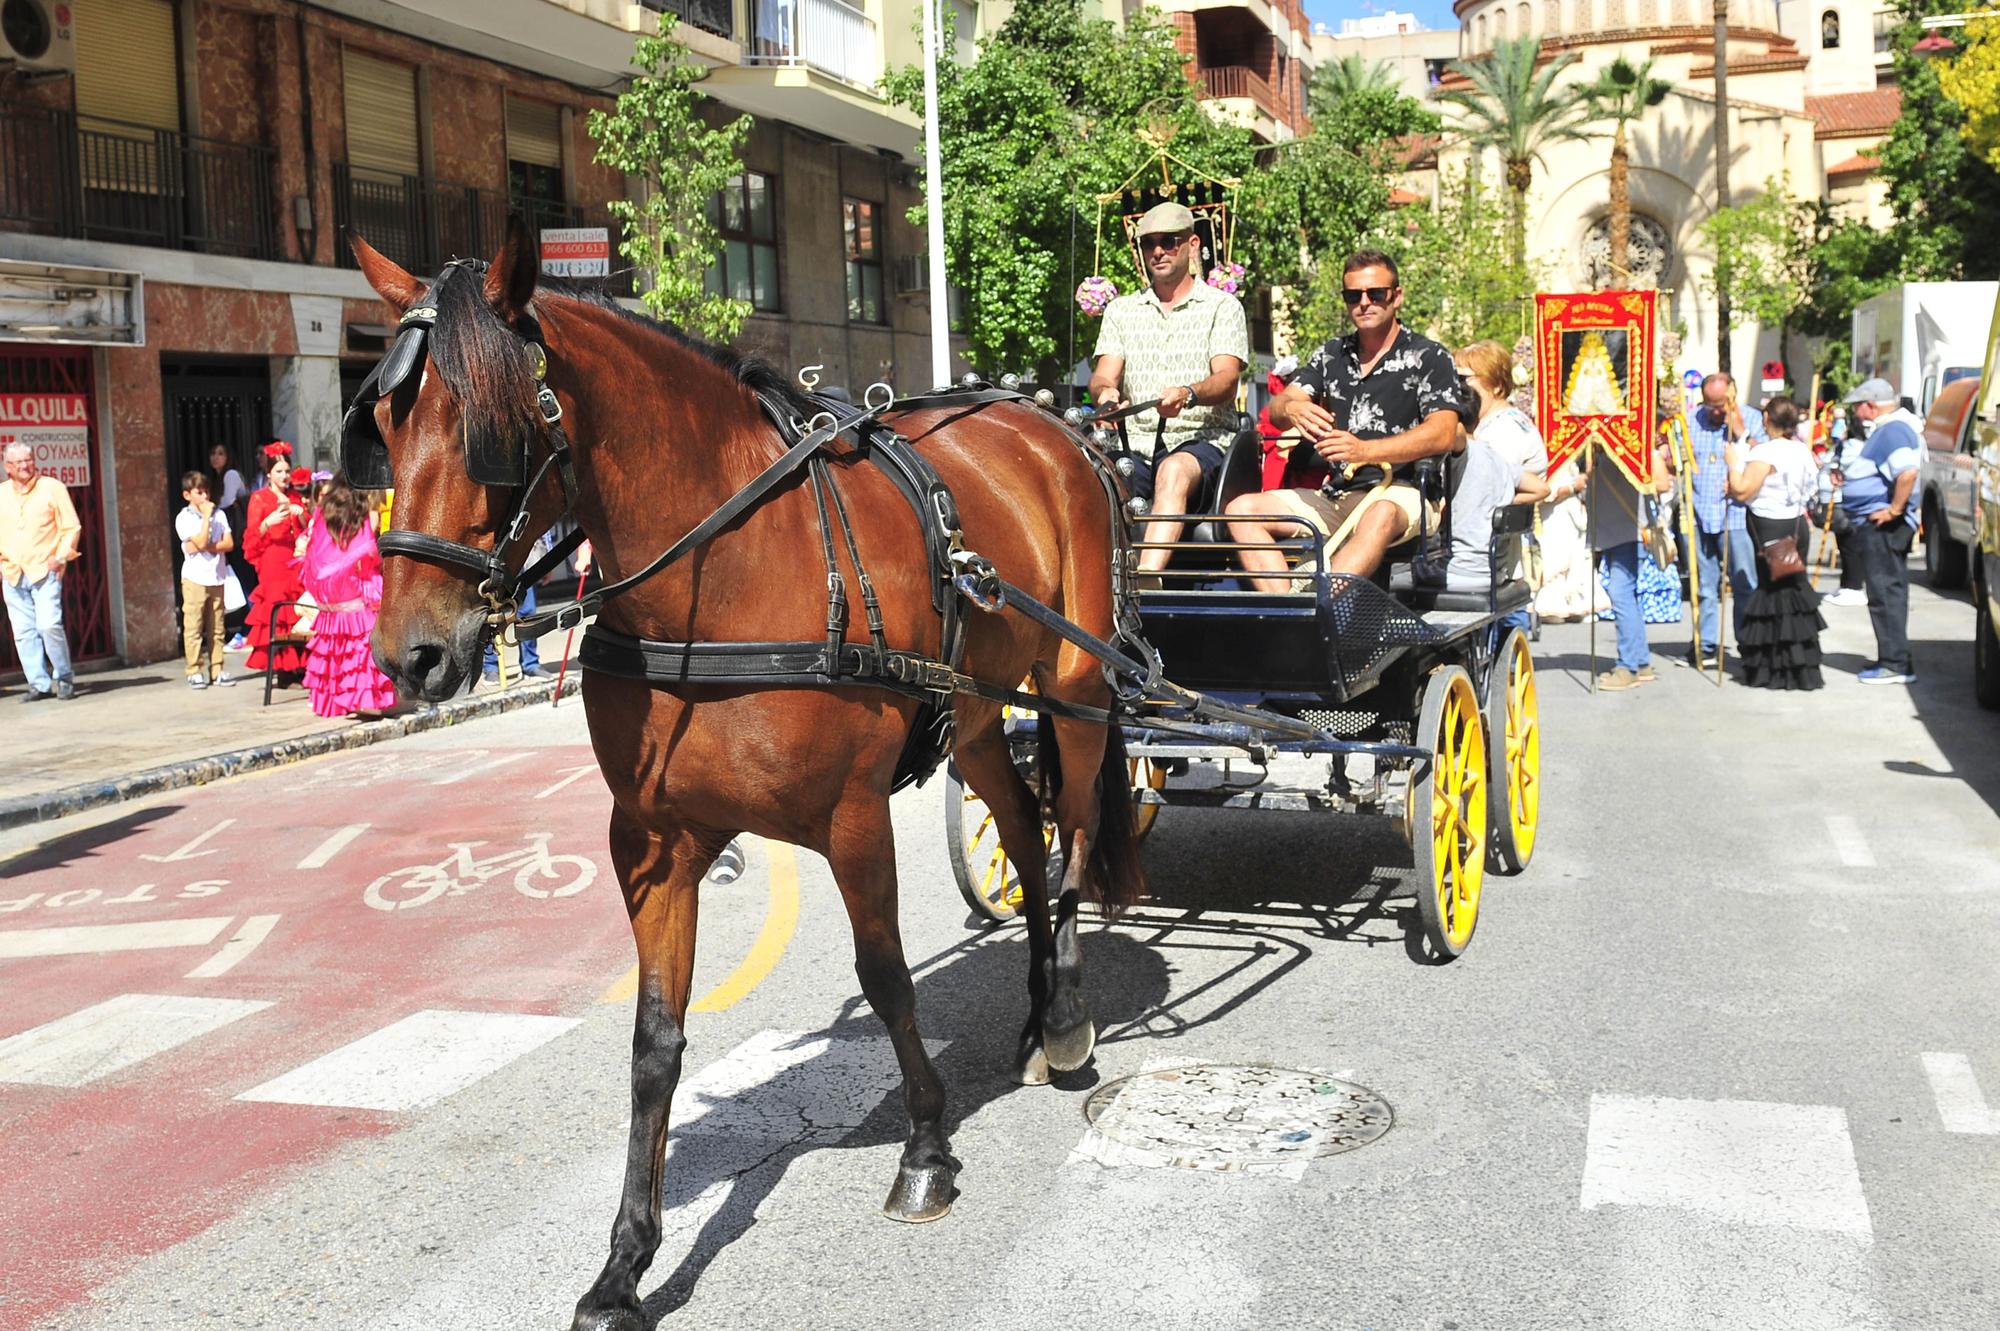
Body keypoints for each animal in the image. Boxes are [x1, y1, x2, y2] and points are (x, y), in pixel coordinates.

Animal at [352, 227, 1152, 1327]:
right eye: (387, 419)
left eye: (492, 428)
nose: (411, 655)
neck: (720, 572)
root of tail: (1053, 422)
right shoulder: (652, 843)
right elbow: (654, 1042)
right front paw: (625, 1260)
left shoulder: (853, 818)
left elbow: (886, 978)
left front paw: (925, 1149)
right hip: (978, 714)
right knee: (1025, 843)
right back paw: (1035, 1012)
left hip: (1072, 687)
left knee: (1069, 838)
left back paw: (1067, 1017)